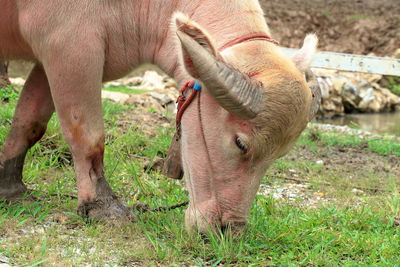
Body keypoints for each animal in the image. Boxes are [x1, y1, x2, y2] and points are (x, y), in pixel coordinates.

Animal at [0, 0, 318, 233]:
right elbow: (88, 138)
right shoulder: (71, 49)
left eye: (277, 157)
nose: (228, 230)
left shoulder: (48, 62)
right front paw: (102, 207)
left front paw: (10, 187)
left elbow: (29, 123)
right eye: (241, 143)